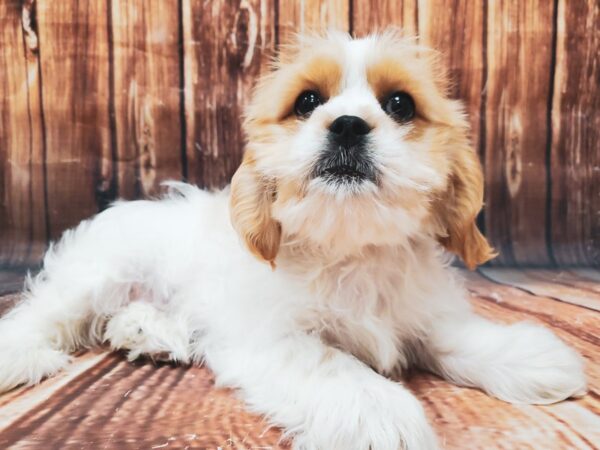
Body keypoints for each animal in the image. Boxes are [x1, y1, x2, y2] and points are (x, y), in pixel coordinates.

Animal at [0, 29, 584, 448]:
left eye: (399, 104)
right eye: (307, 102)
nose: (347, 124)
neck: (350, 247)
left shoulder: (419, 310)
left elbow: (452, 334)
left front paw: (526, 356)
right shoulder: (271, 338)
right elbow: (332, 365)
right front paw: (380, 413)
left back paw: (148, 332)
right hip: (100, 271)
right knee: (46, 312)